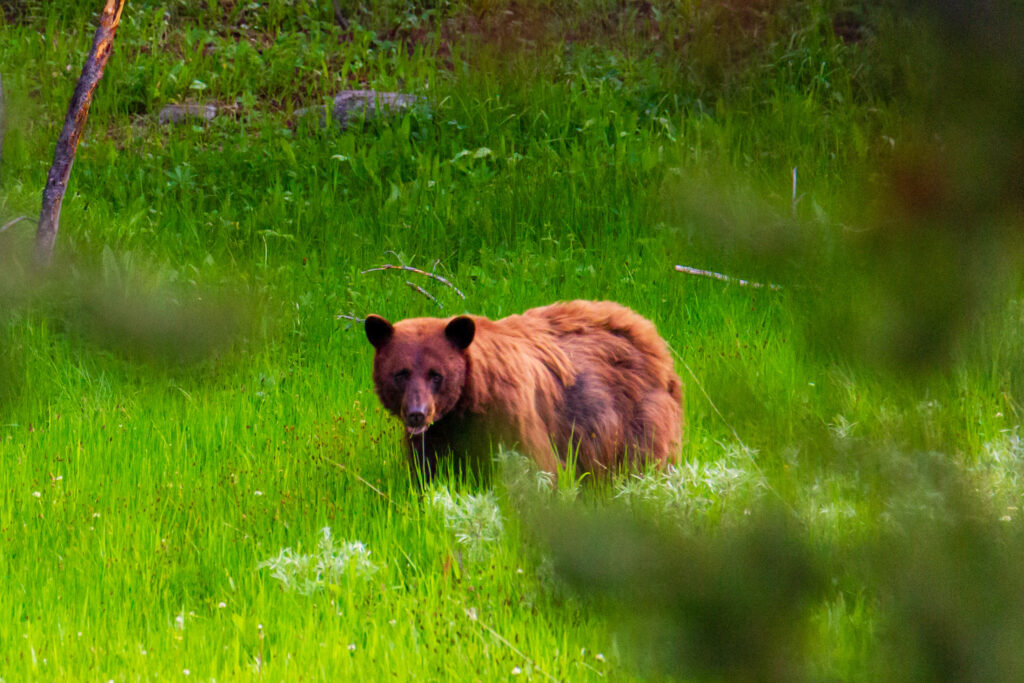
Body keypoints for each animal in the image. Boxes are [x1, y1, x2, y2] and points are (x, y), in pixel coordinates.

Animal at [365, 300, 683, 481]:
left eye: (436, 375)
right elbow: (428, 475)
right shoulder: (436, 437)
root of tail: (650, 332)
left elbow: (539, 467)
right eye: (400, 374)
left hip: (637, 413)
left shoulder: (512, 415)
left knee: (644, 459)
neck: (466, 407)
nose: (417, 414)